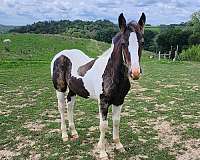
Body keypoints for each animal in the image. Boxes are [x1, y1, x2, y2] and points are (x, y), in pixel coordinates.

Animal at [50, 12, 146, 159]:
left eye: (142, 42)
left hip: (73, 90)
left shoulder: (119, 101)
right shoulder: (103, 101)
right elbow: (103, 125)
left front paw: (119, 145)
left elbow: (116, 122)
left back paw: (74, 133)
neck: (111, 72)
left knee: (70, 106)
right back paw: (65, 135)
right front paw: (102, 152)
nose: (135, 72)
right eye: (124, 43)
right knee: (61, 107)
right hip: (60, 88)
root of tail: (59, 55)